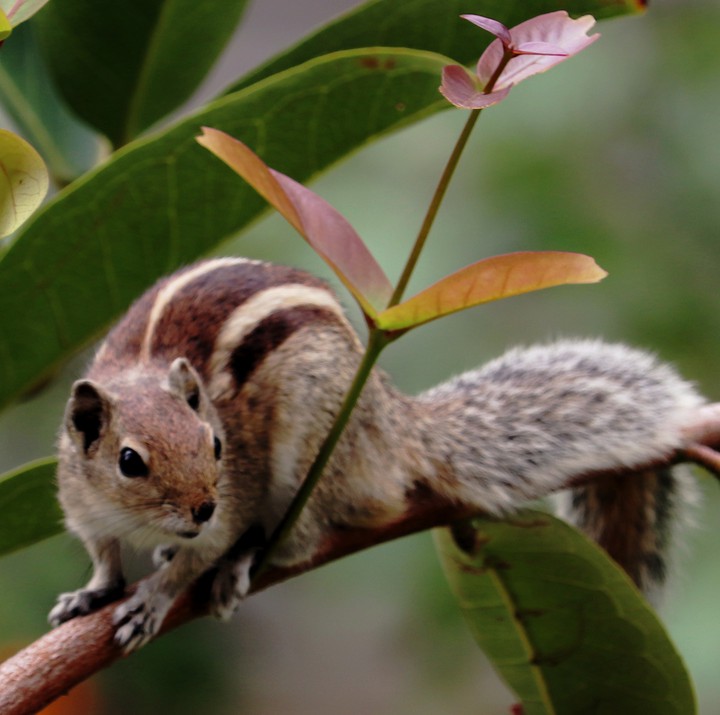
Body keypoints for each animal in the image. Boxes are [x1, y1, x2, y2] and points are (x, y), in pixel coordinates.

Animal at [48, 256, 706, 652]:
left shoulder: (237, 488)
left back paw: (240, 562)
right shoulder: (82, 505)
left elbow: (200, 556)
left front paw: (156, 596)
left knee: (299, 536)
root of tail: (387, 426)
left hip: (310, 449)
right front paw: (94, 590)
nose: (201, 508)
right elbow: (103, 554)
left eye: (215, 444)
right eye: (130, 461)